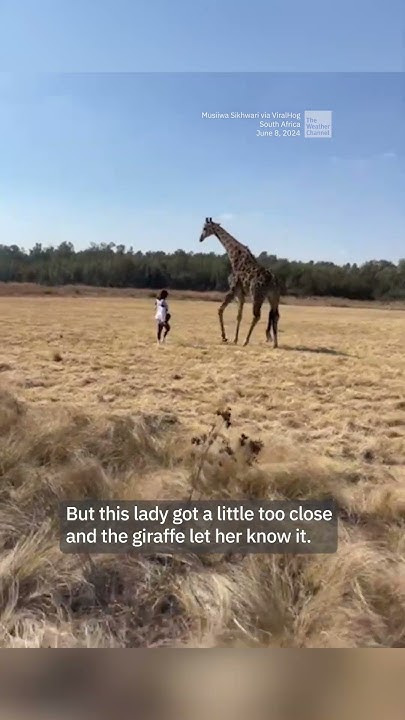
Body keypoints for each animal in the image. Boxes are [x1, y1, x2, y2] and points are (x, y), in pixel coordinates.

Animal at [199, 217, 281, 348]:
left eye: (204, 228)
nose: (200, 238)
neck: (235, 259)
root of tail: (273, 280)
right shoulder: (241, 293)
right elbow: (239, 315)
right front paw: (235, 339)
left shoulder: (233, 289)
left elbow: (220, 310)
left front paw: (224, 337)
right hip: (274, 297)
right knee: (275, 316)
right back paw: (275, 343)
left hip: (257, 295)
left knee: (257, 316)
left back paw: (246, 341)